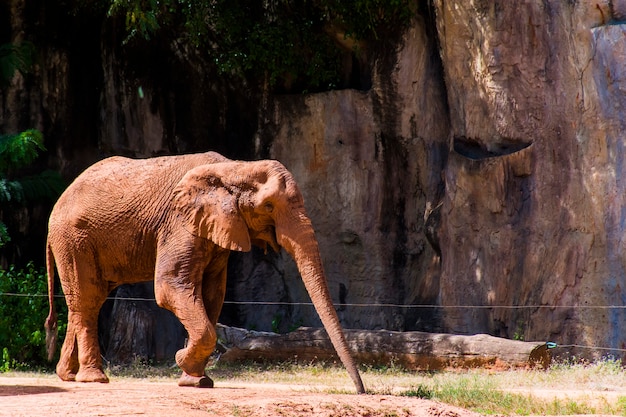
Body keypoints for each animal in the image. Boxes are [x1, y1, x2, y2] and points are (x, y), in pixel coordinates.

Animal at [42, 151, 366, 392]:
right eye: (269, 206)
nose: (361, 391)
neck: (234, 167)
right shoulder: (178, 222)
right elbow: (171, 287)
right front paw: (184, 363)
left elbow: (212, 294)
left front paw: (196, 381)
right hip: (74, 238)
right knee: (88, 297)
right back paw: (94, 379)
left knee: (87, 300)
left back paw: (67, 376)